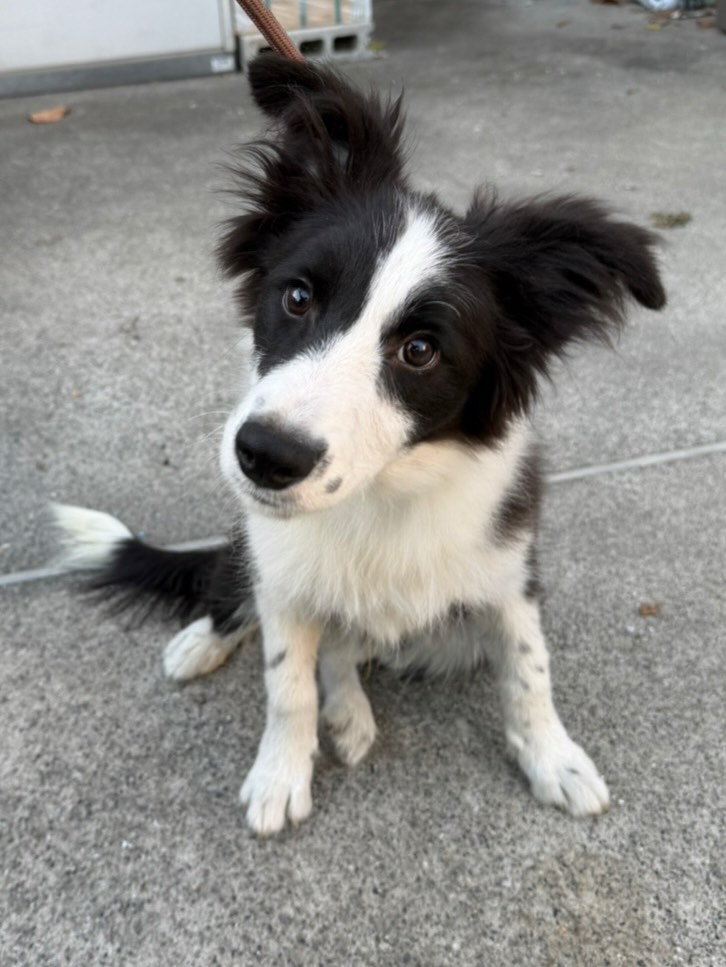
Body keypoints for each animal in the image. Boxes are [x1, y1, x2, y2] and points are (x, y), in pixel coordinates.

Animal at [54, 53, 665, 836]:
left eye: (421, 349)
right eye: (296, 297)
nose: (266, 456)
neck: (380, 495)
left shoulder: (509, 571)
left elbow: (529, 669)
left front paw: (554, 760)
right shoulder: (281, 572)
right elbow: (287, 680)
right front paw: (280, 773)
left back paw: (348, 712)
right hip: (250, 551)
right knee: (246, 600)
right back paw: (209, 643)